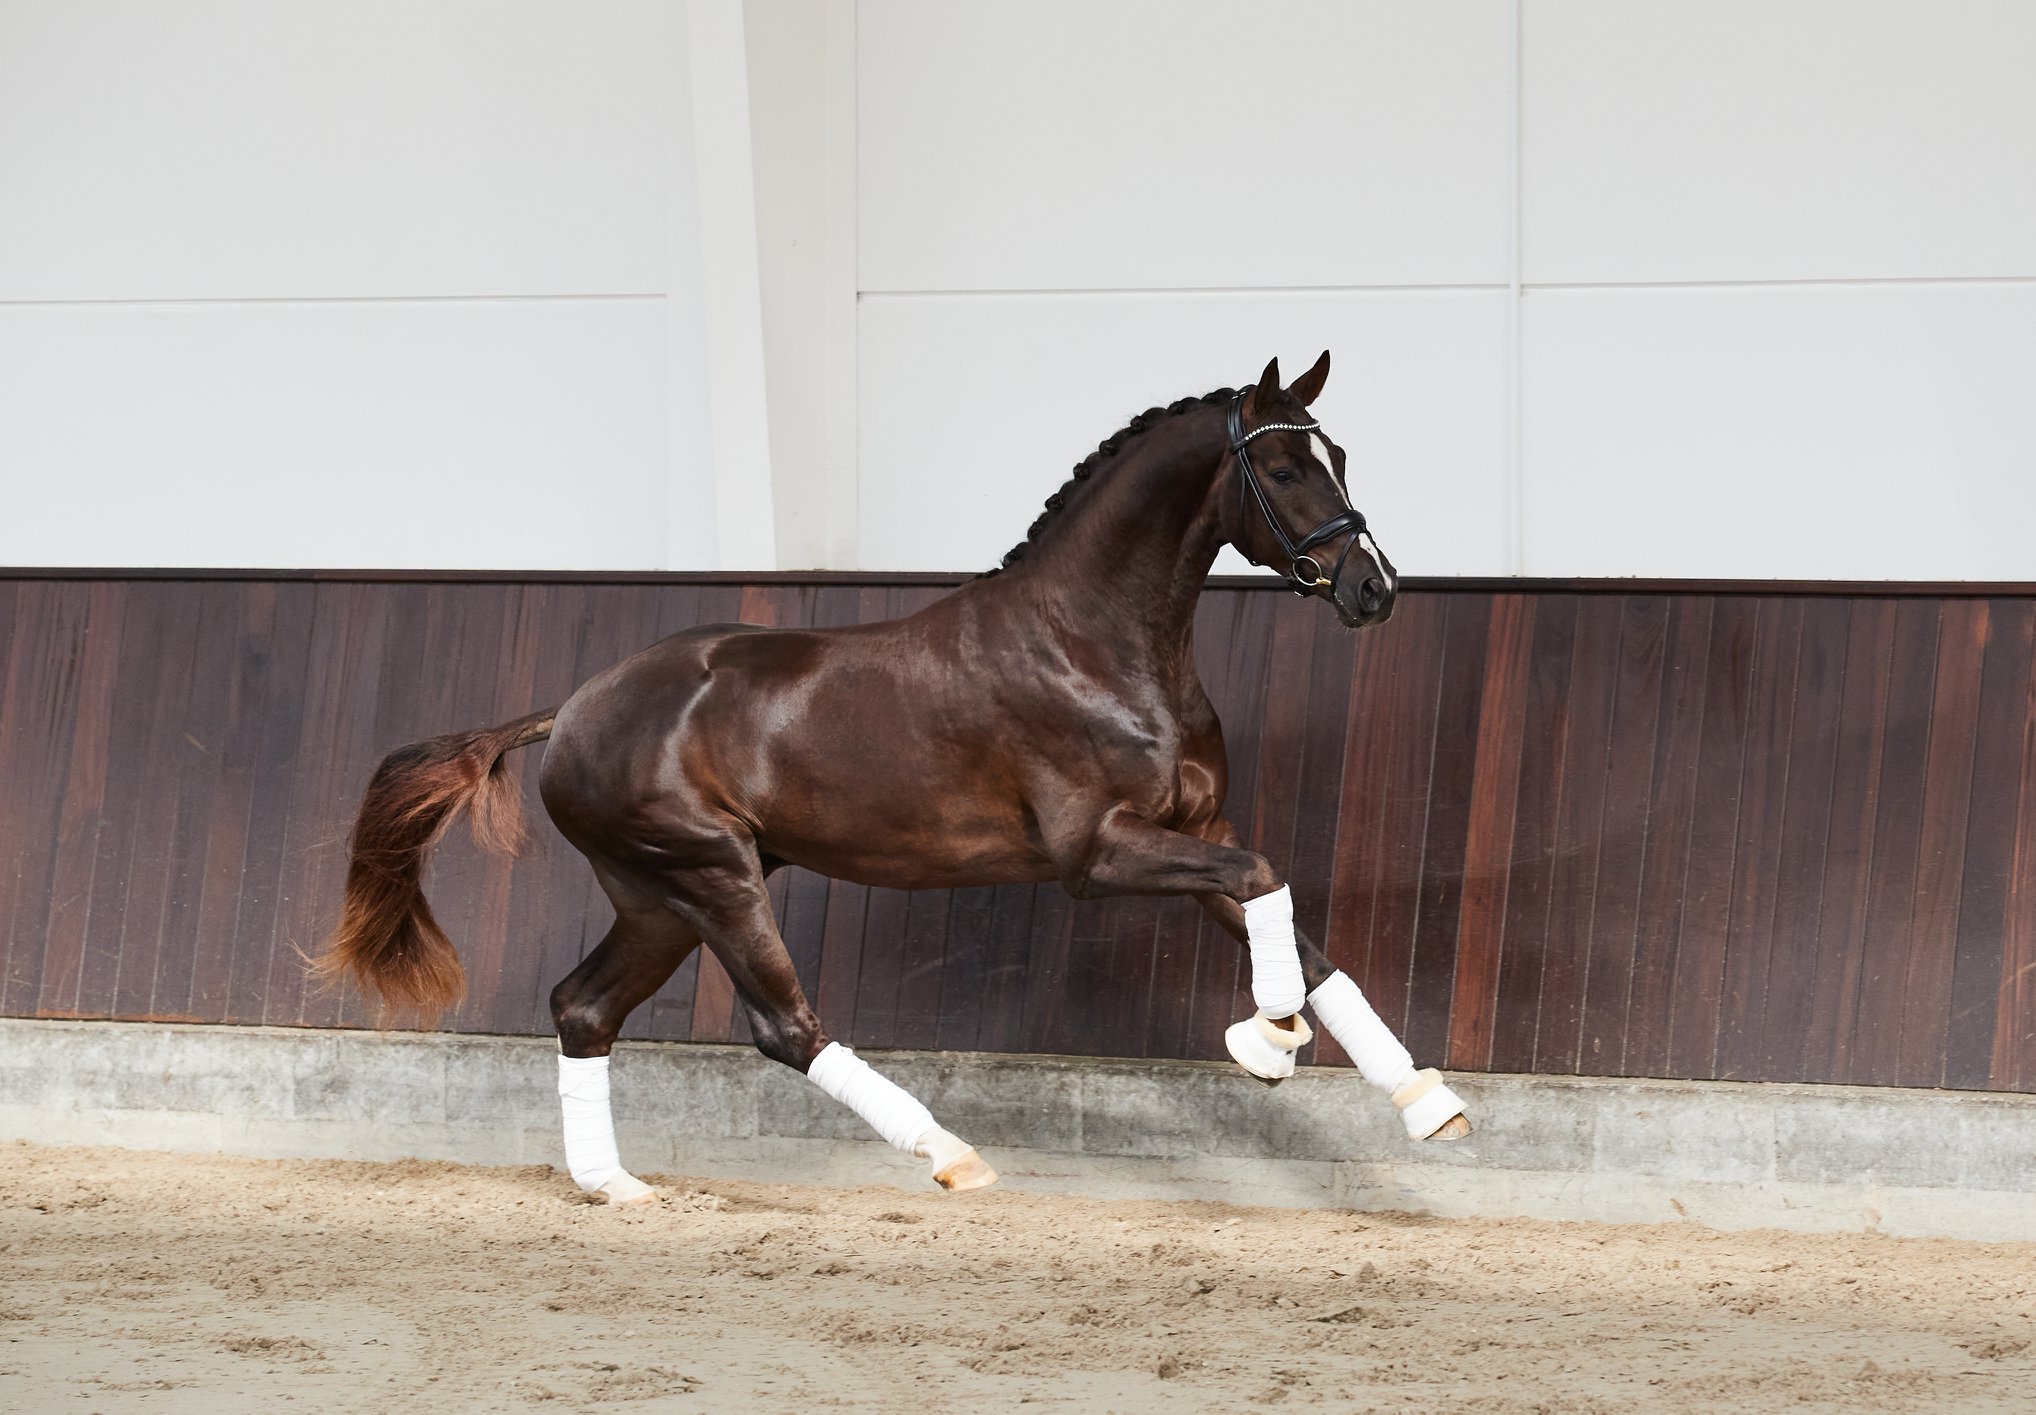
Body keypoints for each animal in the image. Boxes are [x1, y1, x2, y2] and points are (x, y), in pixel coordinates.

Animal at [315, 353, 1471, 1206]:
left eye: (1337, 452)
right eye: (1281, 466)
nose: (1374, 589)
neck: (1093, 644)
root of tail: (573, 709)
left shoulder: (1196, 828)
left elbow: (1296, 930)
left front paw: (1424, 1103)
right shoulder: (1097, 854)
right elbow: (1268, 882)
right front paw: (1266, 1042)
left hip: (656, 897)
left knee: (581, 1006)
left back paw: (615, 1185)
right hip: (711, 877)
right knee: (783, 1027)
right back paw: (950, 1155)